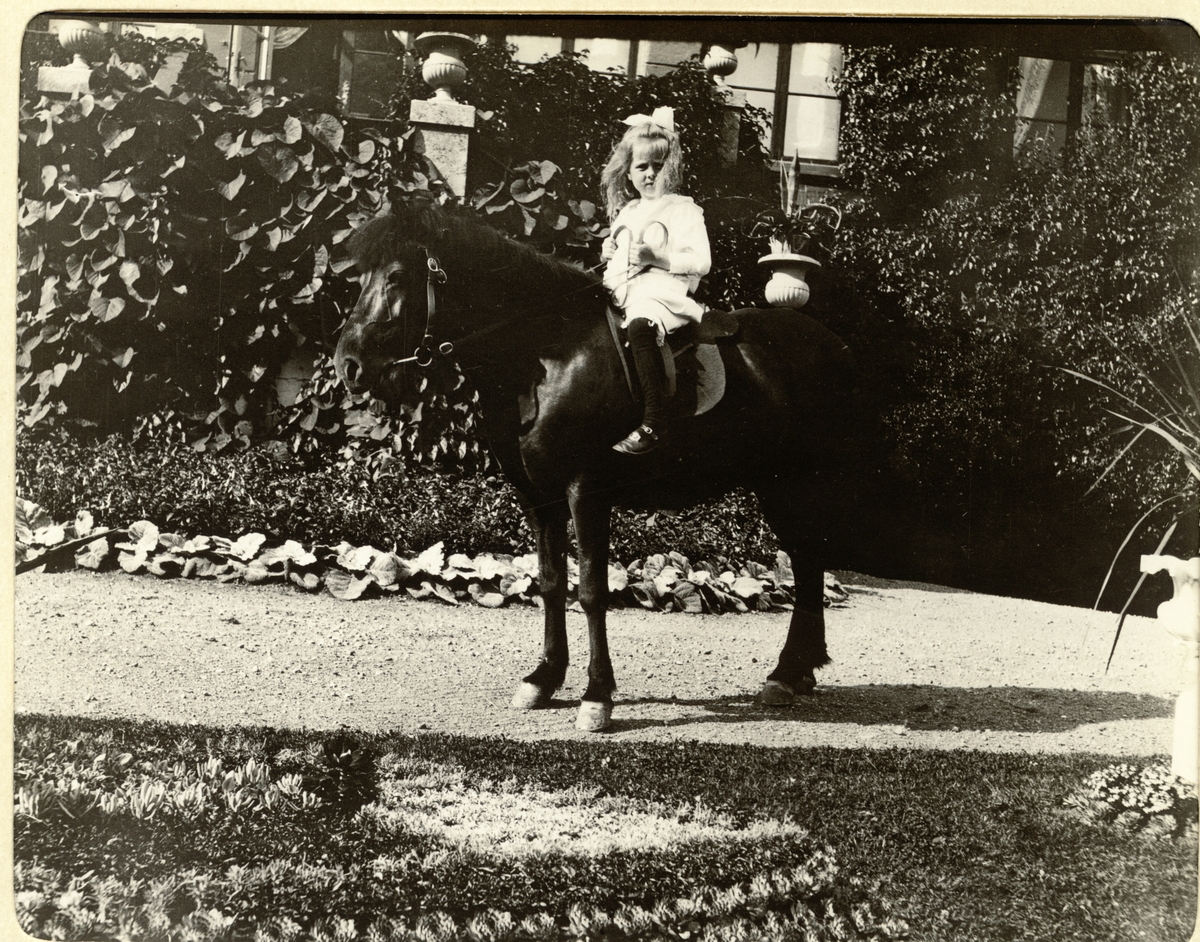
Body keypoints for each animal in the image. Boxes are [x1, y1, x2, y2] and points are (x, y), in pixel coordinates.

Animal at [336, 196, 883, 729]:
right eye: (361, 278)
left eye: (397, 277)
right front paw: (543, 679)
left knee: (809, 563)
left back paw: (788, 673)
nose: (348, 365)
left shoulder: (586, 491)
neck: (548, 353)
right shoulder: (540, 496)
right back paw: (797, 673)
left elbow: (592, 591)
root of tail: (836, 347)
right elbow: (551, 583)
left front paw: (596, 696)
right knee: (809, 564)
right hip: (778, 486)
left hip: (796, 485)